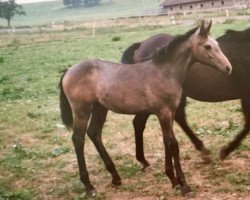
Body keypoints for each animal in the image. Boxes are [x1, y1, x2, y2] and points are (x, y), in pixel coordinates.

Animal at [59, 21, 231, 196]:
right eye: (207, 46)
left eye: (217, 44)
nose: (227, 68)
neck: (164, 72)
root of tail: (69, 70)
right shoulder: (163, 112)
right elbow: (173, 144)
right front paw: (184, 185)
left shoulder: (168, 113)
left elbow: (166, 141)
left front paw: (173, 180)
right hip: (82, 110)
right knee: (78, 139)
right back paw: (89, 186)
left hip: (100, 108)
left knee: (94, 133)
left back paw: (115, 177)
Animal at [121, 25, 250, 168]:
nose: (227, 68)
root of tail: (141, 45)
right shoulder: (246, 96)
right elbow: (247, 125)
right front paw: (225, 151)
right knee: (143, 122)